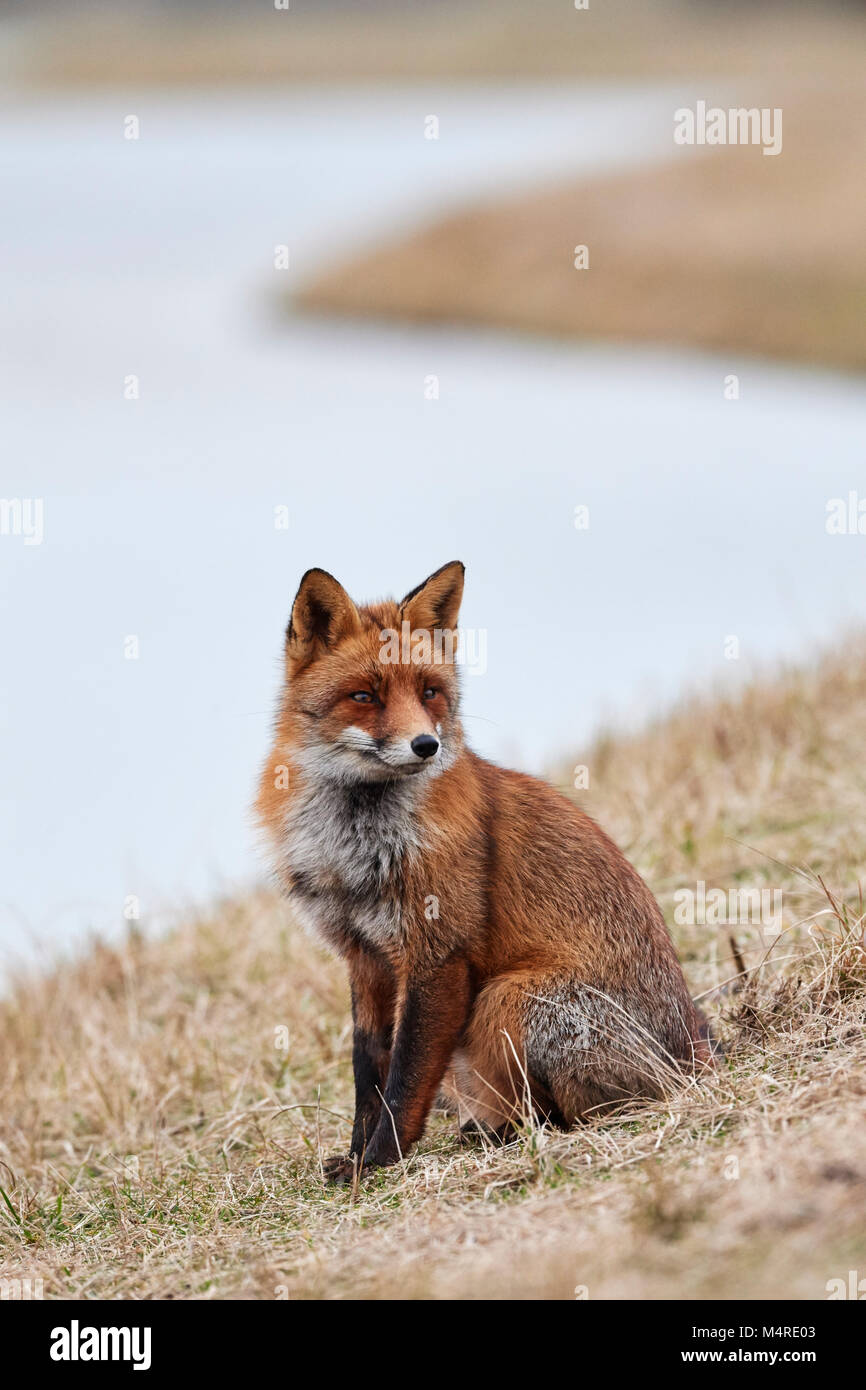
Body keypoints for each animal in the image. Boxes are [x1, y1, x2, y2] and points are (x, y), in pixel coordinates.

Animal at [256, 561, 715, 1182]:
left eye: (429, 692)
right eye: (364, 696)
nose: (426, 744)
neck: (356, 847)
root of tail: (690, 1048)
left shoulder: (440, 955)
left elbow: (404, 1081)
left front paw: (379, 1164)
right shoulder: (365, 956)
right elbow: (367, 1073)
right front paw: (355, 1158)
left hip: (508, 998)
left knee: (581, 1111)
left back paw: (516, 1133)